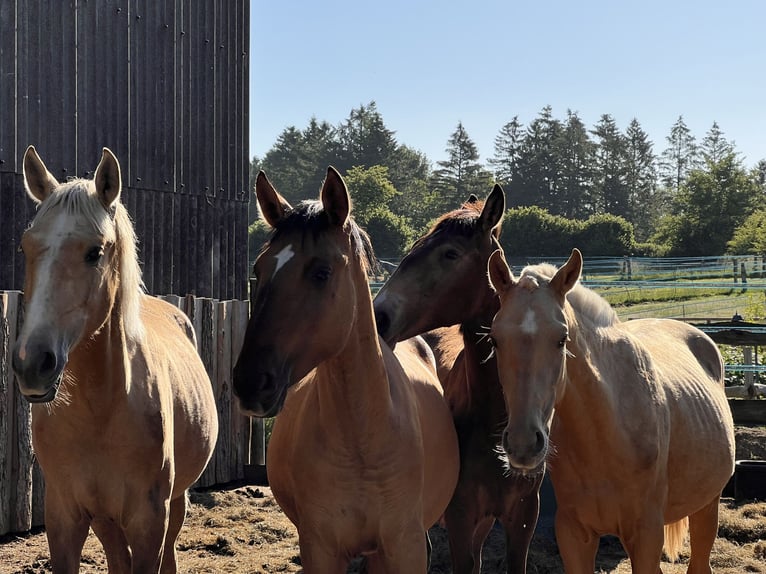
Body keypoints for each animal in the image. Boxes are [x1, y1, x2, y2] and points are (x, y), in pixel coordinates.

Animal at [11, 147, 219, 574]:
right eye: (26, 247)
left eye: (94, 252)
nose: (31, 363)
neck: (100, 411)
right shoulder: (65, 517)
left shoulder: (148, 520)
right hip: (105, 518)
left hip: (174, 503)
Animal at [232, 169, 462, 572]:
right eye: (258, 269)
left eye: (321, 272)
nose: (249, 382)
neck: (363, 440)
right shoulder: (321, 548)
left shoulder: (403, 547)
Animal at [488, 250, 740, 572]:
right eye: (495, 339)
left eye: (561, 339)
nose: (523, 445)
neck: (609, 434)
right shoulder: (573, 535)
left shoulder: (646, 536)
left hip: (707, 506)